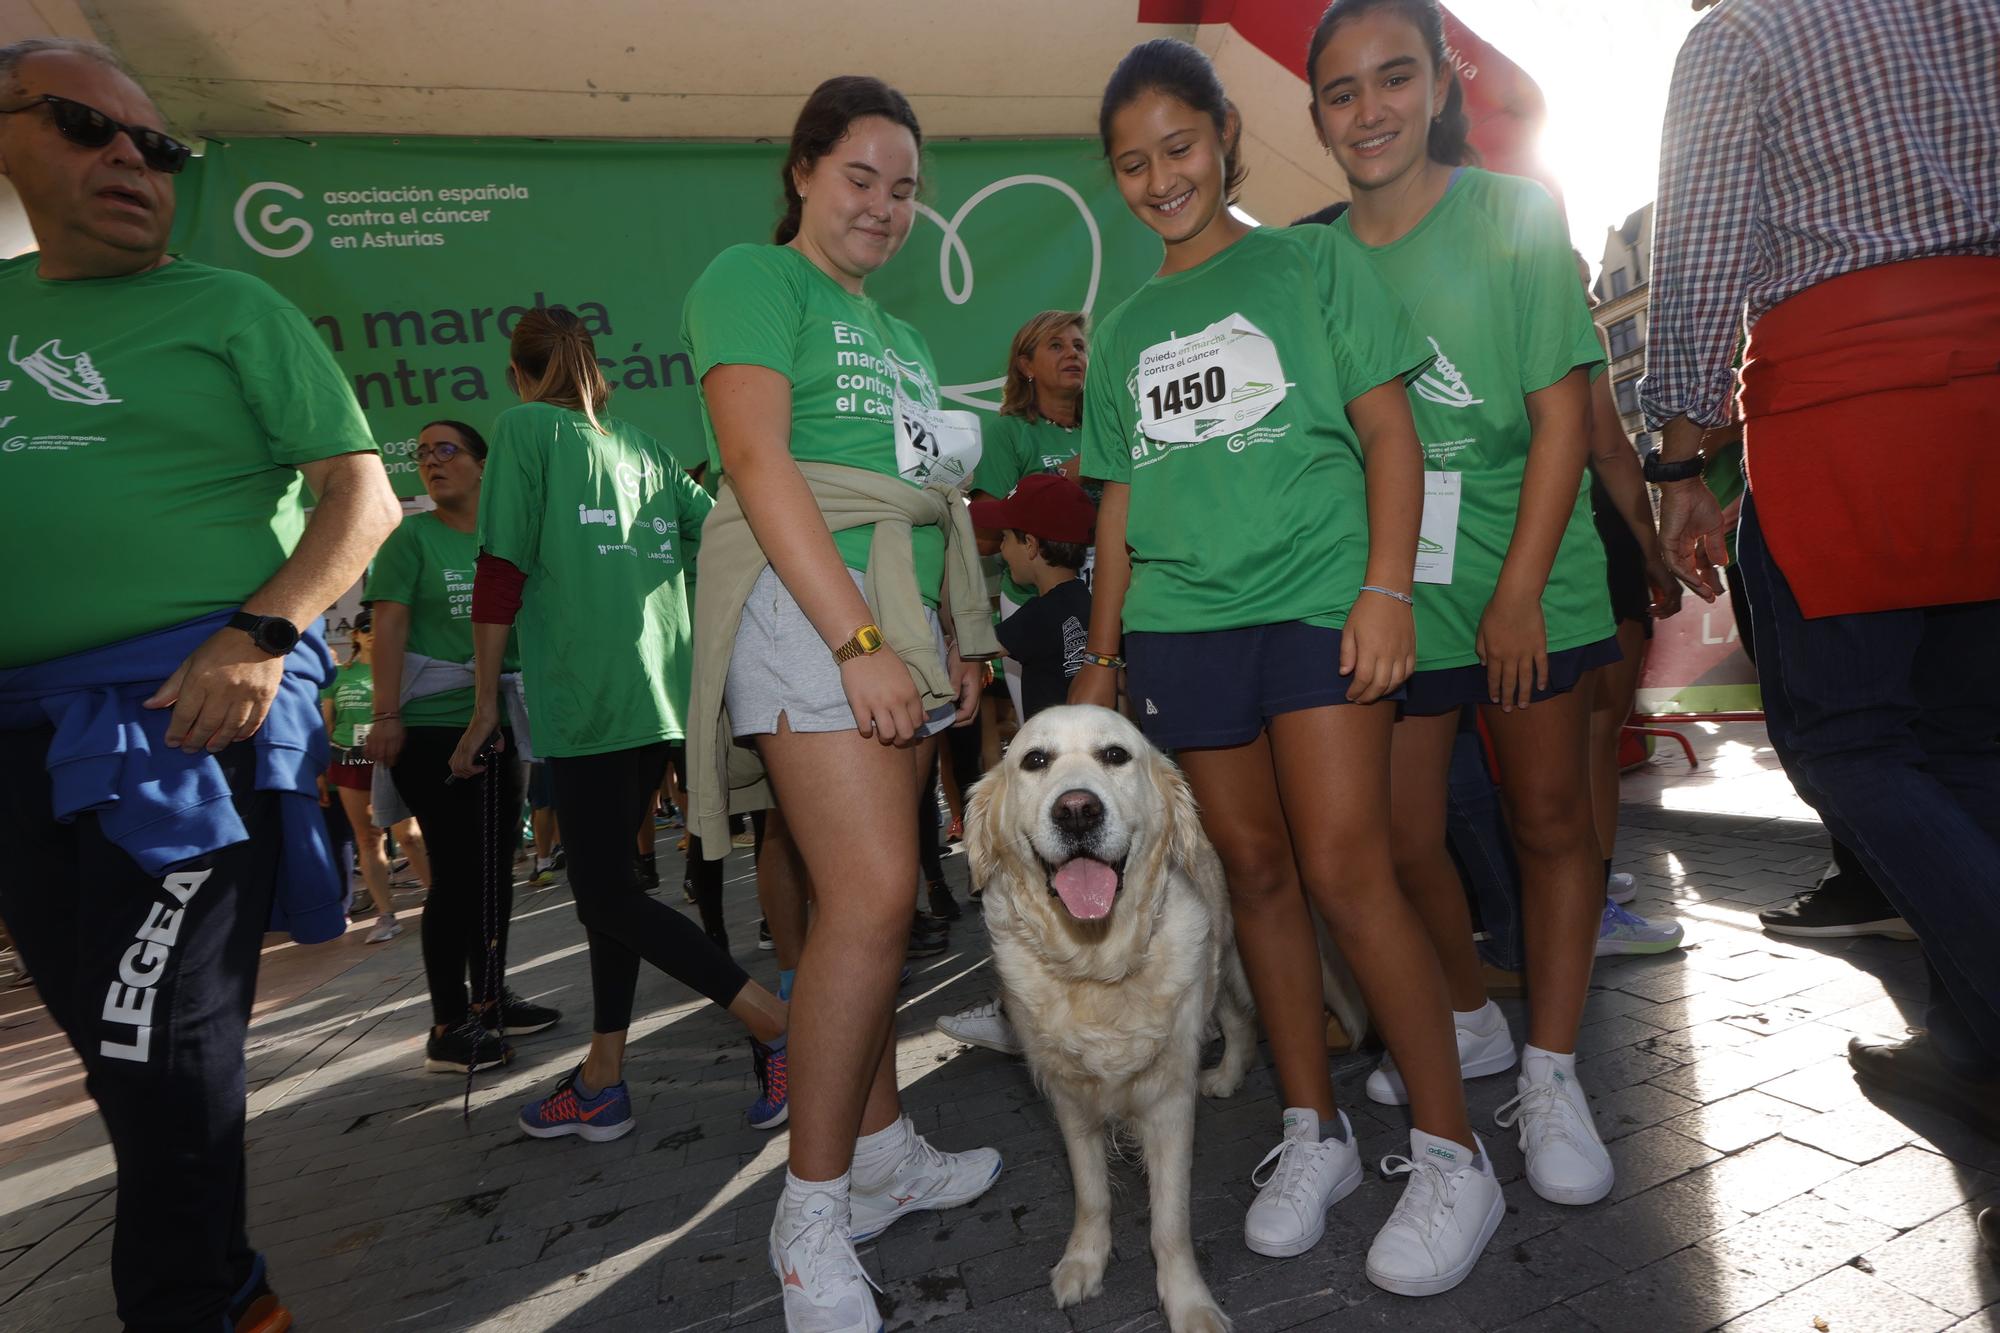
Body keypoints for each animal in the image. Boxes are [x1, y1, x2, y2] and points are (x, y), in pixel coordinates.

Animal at [964, 700, 1248, 1320]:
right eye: (1034, 760)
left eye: (1115, 755)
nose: (1076, 811)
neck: (1096, 964)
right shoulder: (1069, 1098)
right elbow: (1091, 1191)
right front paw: (1084, 1261)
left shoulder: (1169, 1098)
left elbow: (1171, 1219)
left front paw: (1188, 1303)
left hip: (1221, 957)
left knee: (1239, 1017)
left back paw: (1228, 1073)